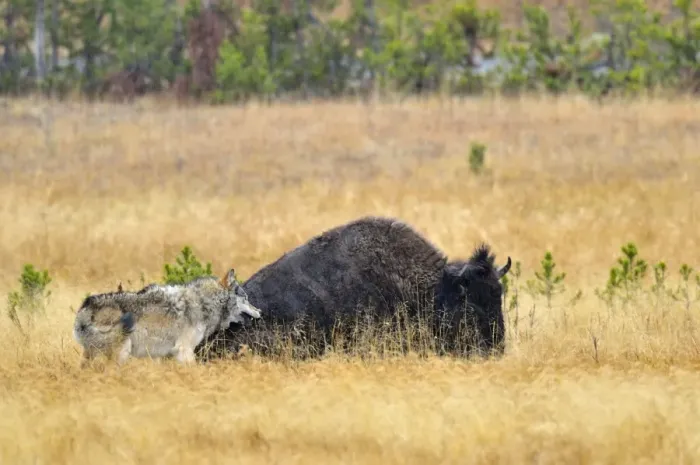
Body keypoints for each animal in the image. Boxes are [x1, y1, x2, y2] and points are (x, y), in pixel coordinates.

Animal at [73, 269, 262, 366]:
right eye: (246, 298)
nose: (260, 311)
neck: (204, 302)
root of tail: (84, 308)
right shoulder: (184, 349)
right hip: (122, 352)